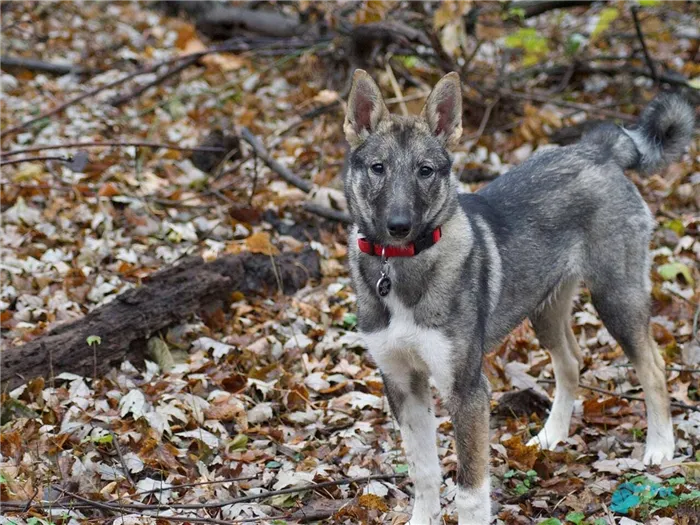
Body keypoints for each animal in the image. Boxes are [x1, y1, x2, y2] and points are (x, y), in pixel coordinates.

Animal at [340, 70, 696, 524]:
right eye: (378, 168)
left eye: (425, 171)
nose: (399, 225)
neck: (401, 267)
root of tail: (598, 150)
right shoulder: (401, 383)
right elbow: (423, 473)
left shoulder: (468, 390)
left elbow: (470, 490)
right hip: (545, 308)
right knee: (571, 362)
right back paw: (551, 435)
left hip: (616, 297)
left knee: (652, 366)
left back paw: (659, 447)